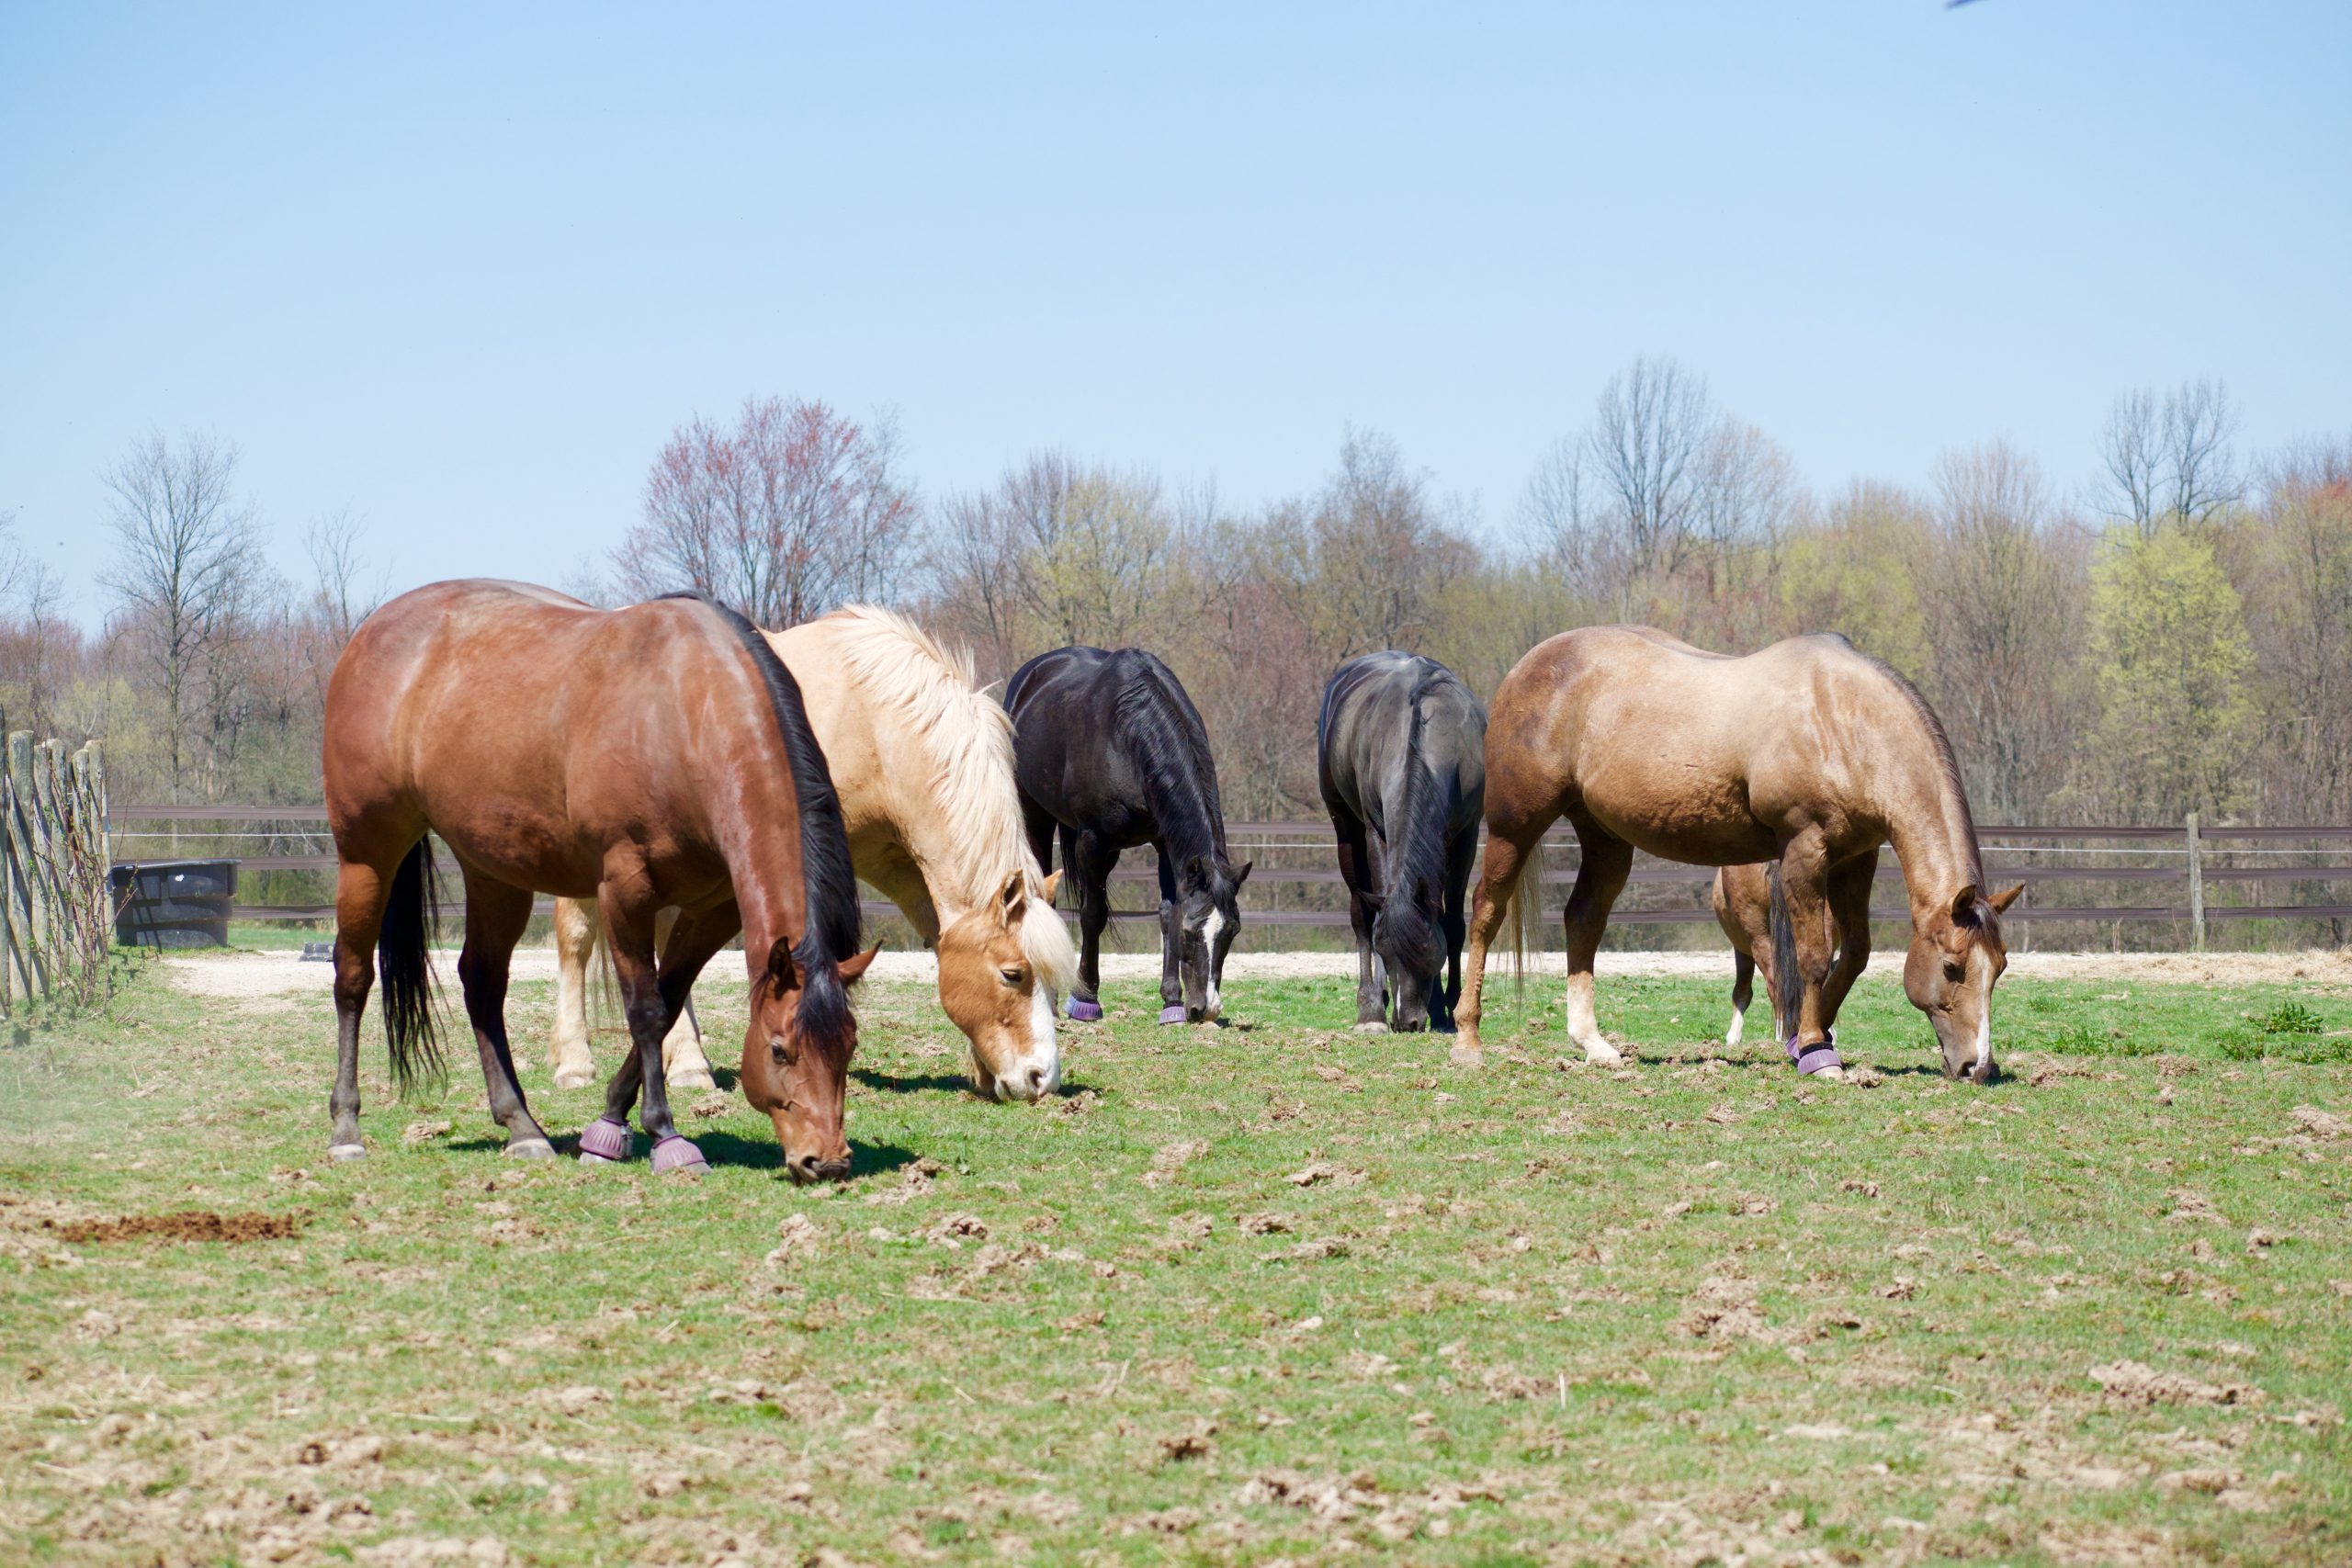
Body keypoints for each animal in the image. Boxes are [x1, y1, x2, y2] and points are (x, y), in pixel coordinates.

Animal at [321, 580, 876, 1183]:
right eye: (778, 1049)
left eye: (848, 1047)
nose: (827, 1161)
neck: (685, 712)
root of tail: (372, 632)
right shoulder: (625, 890)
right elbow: (647, 1009)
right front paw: (664, 1136)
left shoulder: (714, 909)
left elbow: (670, 998)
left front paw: (609, 1124)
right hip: (366, 856)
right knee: (353, 978)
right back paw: (346, 1130)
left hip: (493, 871)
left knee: (482, 983)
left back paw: (523, 1129)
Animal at [548, 606, 1078, 1101]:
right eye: (1012, 974)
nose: (1042, 1078)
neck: (874, 723)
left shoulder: (898, 864)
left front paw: (981, 1069)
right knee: (577, 939)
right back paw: (578, 1062)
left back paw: (685, 1062)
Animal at [1005, 646, 1249, 1025]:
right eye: (1192, 933)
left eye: (1232, 931)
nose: (1206, 1009)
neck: (1125, 735)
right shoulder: (1092, 840)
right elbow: (1093, 914)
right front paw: (1085, 999)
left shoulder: (1165, 843)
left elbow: (1167, 912)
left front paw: (1172, 1002)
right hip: (1037, 816)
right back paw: (1051, 998)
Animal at [1317, 652, 1486, 1032]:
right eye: (1385, 951)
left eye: (1426, 951)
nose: (1405, 1021)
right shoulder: (1376, 832)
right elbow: (1373, 914)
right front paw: (1375, 1011)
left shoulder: (1466, 836)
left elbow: (1453, 922)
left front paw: (1448, 1007)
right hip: (1345, 828)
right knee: (1361, 912)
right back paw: (1370, 1006)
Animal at [1452, 627, 2022, 1083]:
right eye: (1952, 967)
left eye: (1999, 967)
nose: (1977, 1066)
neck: (1843, 720)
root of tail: (1529, 665)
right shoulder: (1803, 849)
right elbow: (1814, 956)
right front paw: (1815, 1051)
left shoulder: (1855, 858)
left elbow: (1855, 953)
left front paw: (1814, 1035)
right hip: (1515, 826)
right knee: (1485, 912)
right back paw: (1468, 1040)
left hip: (1604, 839)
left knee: (1583, 920)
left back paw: (1592, 1044)